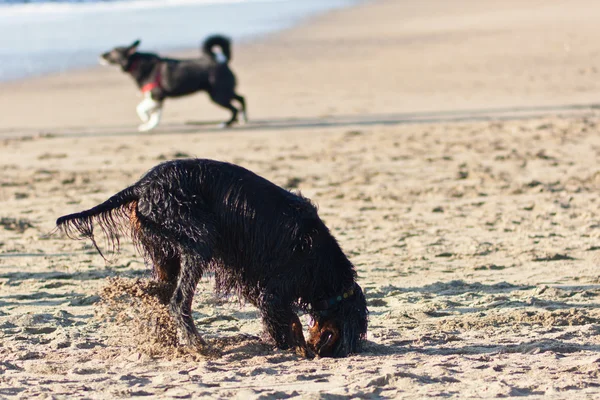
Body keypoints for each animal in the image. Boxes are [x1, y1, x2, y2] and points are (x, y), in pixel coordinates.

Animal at [56, 158, 368, 358]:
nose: (344, 353)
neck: (322, 264)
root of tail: (143, 185)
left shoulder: (251, 281)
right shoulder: (275, 288)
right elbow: (289, 318)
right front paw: (297, 347)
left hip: (165, 248)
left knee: (163, 291)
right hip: (199, 238)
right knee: (178, 300)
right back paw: (198, 345)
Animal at [102, 34, 247, 131]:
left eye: (113, 52)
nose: (101, 55)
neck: (137, 63)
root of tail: (222, 61)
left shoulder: (156, 95)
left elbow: (141, 108)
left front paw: (145, 119)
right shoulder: (157, 99)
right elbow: (155, 115)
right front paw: (149, 126)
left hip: (218, 96)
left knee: (234, 108)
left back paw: (226, 123)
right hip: (223, 92)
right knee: (241, 98)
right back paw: (244, 118)